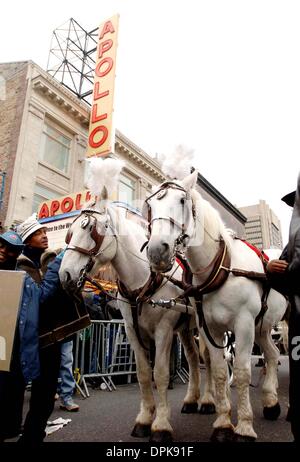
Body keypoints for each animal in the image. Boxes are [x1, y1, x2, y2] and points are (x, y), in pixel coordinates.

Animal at [58, 193, 203, 442]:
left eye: (91, 229)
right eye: (71, 231)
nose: (64, 274)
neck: (143, 280)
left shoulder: (164, 331)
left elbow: (161, 374)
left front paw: (161, 424)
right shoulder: (132, 331)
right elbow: (144, 374)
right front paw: (144, 419)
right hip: (185, 329)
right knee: (194, 359)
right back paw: (193, 400)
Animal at [145, 171, 288, 442]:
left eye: (182, 200)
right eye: (150, 206)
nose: (157, 250)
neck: (222, 268)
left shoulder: (243, 325)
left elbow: (241, 372)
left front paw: (244, 427)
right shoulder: (210, 327)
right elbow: (221, 371)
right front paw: (223, 424)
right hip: (263, 327)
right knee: (273, 354)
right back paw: (271, 402)